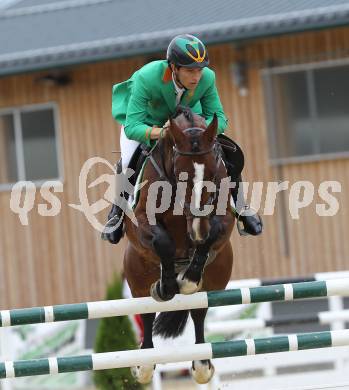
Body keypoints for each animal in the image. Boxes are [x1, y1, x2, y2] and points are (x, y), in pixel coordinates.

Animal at [122, 106, 234, 384]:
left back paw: (202, 365)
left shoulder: (224, 216)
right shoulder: (142, 221)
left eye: (213, 173)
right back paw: (144, 364)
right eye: (181, 175)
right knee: (146, 311)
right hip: (137, 274)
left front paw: (186, 280)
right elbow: (163, 243)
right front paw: (166, 286)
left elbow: (212, 233)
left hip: (217, 276)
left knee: (199, 311)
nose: (197, 229)